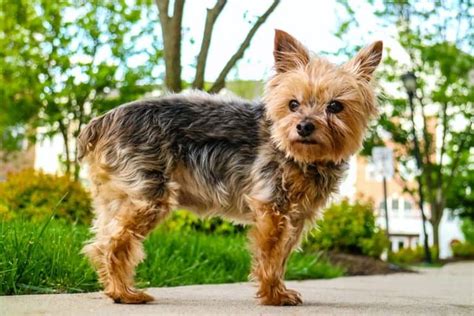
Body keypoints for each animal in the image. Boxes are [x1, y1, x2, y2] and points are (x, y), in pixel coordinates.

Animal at [78, 30, 382, 306]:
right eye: (293, 104)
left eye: (336, 106)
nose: (304, 126)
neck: (301, 156)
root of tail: (104, 120)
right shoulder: (272, 207)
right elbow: (271, 255)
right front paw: (274, 295)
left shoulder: (296, 216)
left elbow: (282, 255)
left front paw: (277, 290)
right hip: (148, 194)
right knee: (115, 243)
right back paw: (124, 293)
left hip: (119, 197)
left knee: (101, 241)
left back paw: (114, 289)